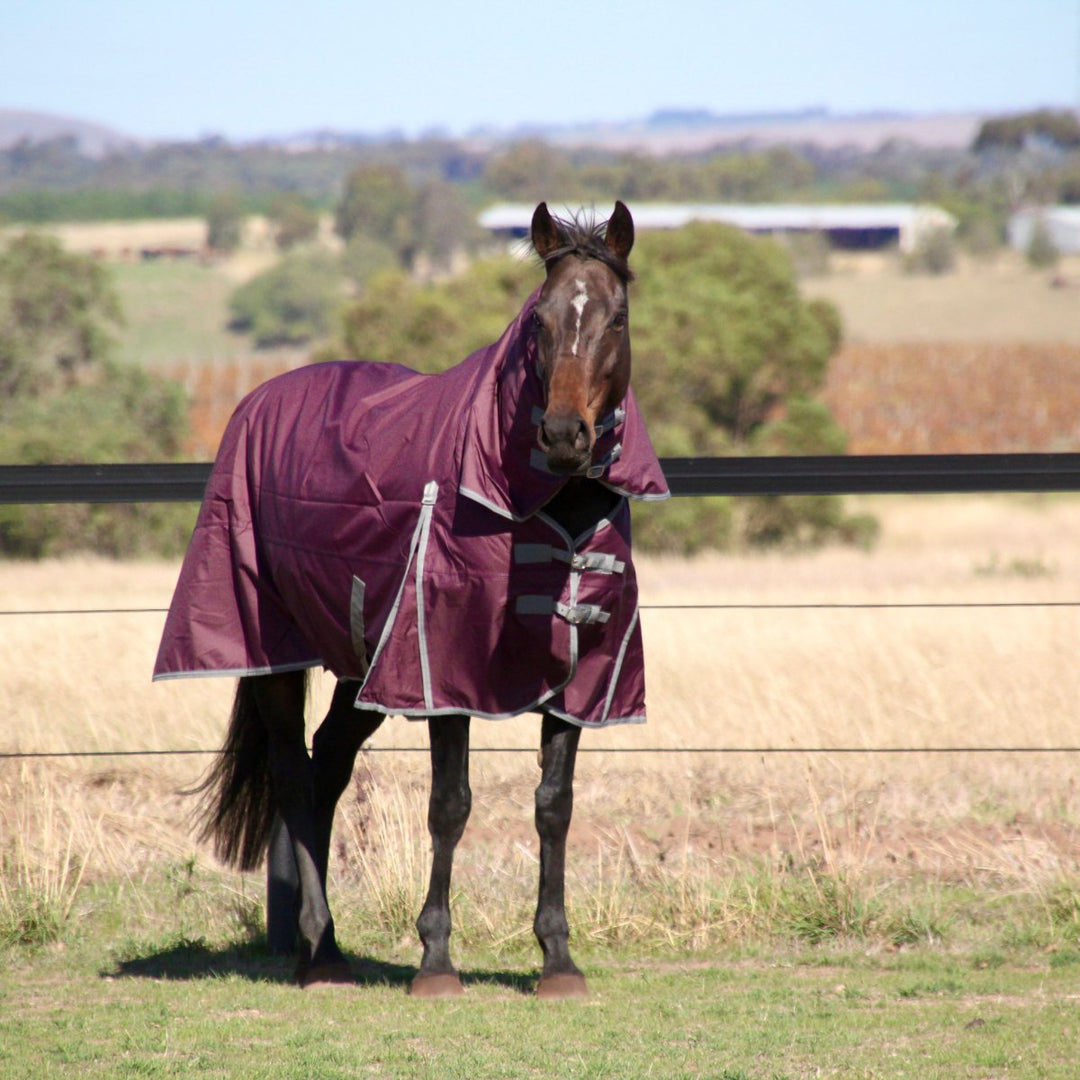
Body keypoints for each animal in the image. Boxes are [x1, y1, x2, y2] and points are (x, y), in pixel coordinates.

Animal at [156, 200, 669, 993]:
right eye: (540, 318)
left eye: (616, 317)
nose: (563, 435)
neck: (547, 503)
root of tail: (261, 399)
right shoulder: (440, 670)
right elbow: (450, 806)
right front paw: (436, 959)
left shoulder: (582, 677)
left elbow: (554, 807)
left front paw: (557, 959)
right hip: (273, 652)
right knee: (293, 775)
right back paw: (322, 954)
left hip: (361, 664)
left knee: (328, 766)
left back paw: (321, 947)